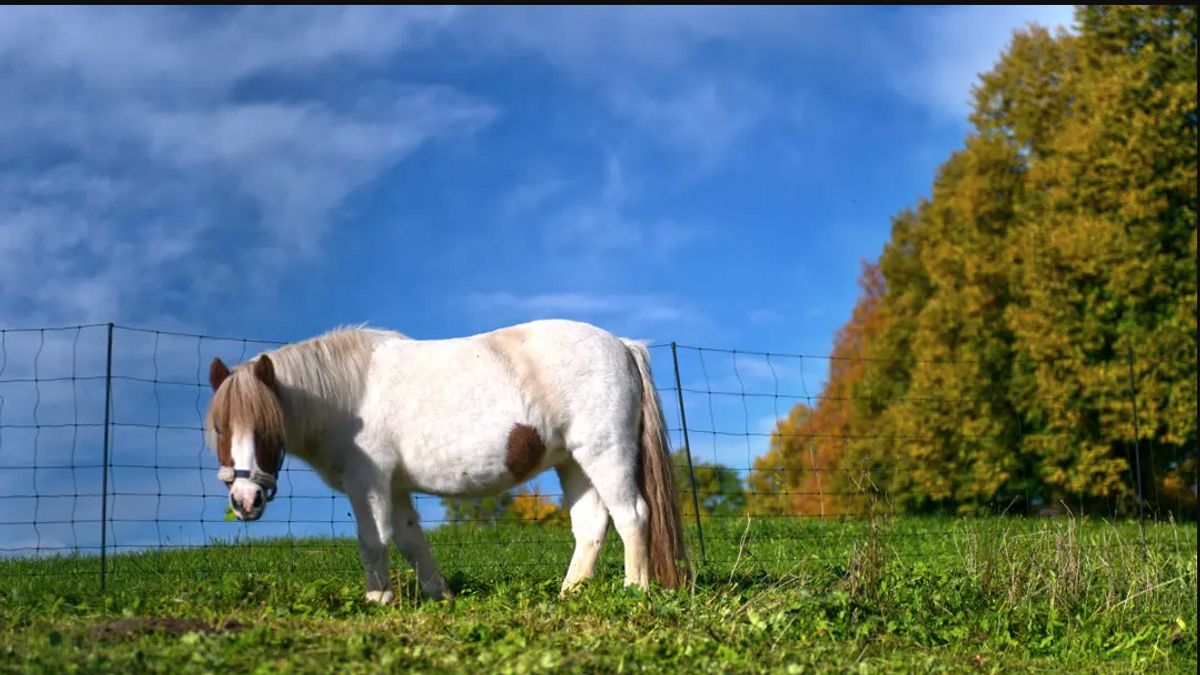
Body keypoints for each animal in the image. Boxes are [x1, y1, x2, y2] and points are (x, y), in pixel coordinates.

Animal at [206, 317, 686, 600]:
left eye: (268, 427)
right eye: (221, 428)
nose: (245, 501)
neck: (347, 394)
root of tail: (622, 344)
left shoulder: (368, 484)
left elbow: (373, 541)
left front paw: (377, 601)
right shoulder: (395, 487)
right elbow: (410, 541)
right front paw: (442, 599)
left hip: (606, 453)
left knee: (632, 515)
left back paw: (634, 593)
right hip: (573, 463)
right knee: (590, 525)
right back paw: (569, 596)